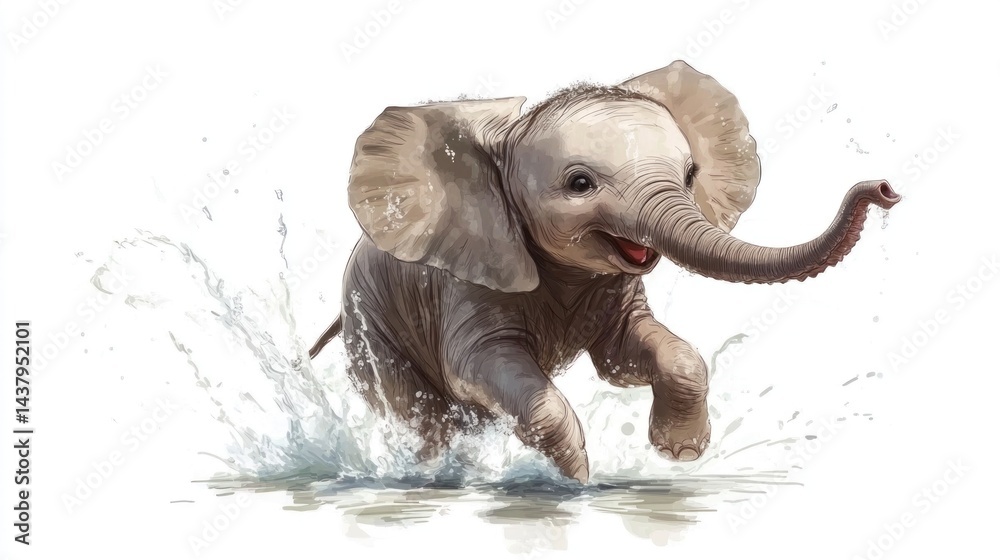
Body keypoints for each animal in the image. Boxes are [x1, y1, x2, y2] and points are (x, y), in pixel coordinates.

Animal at [308, 60, 900, 483]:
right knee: (425, 418)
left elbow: (631, 357)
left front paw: (679, 452)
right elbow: (477, 366)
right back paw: (434, 475)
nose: (885, 189)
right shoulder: (470, 276)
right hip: (372, 331)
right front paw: (576, 480)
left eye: (690, 174)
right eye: (579, 184)